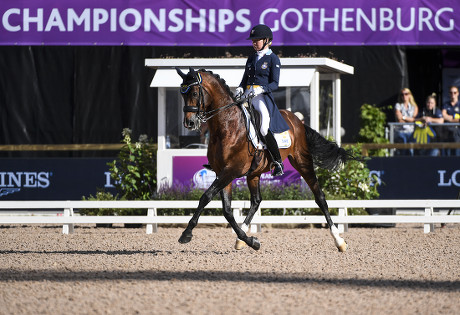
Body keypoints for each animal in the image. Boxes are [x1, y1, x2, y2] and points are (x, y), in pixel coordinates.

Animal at [174, 66, 354, 252]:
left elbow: (206, 197)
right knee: (256, 201)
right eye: (182, 94)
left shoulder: (231, 171)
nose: (189, 123)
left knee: (320, 197)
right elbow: (227, 210)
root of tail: (297, 120)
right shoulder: (221, 172)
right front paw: (250, 240)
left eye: (195, 93)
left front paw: (186, 233)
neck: (227, 126)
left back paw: (339, 241)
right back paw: (242, 239)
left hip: (302, 161)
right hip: (254, 173)